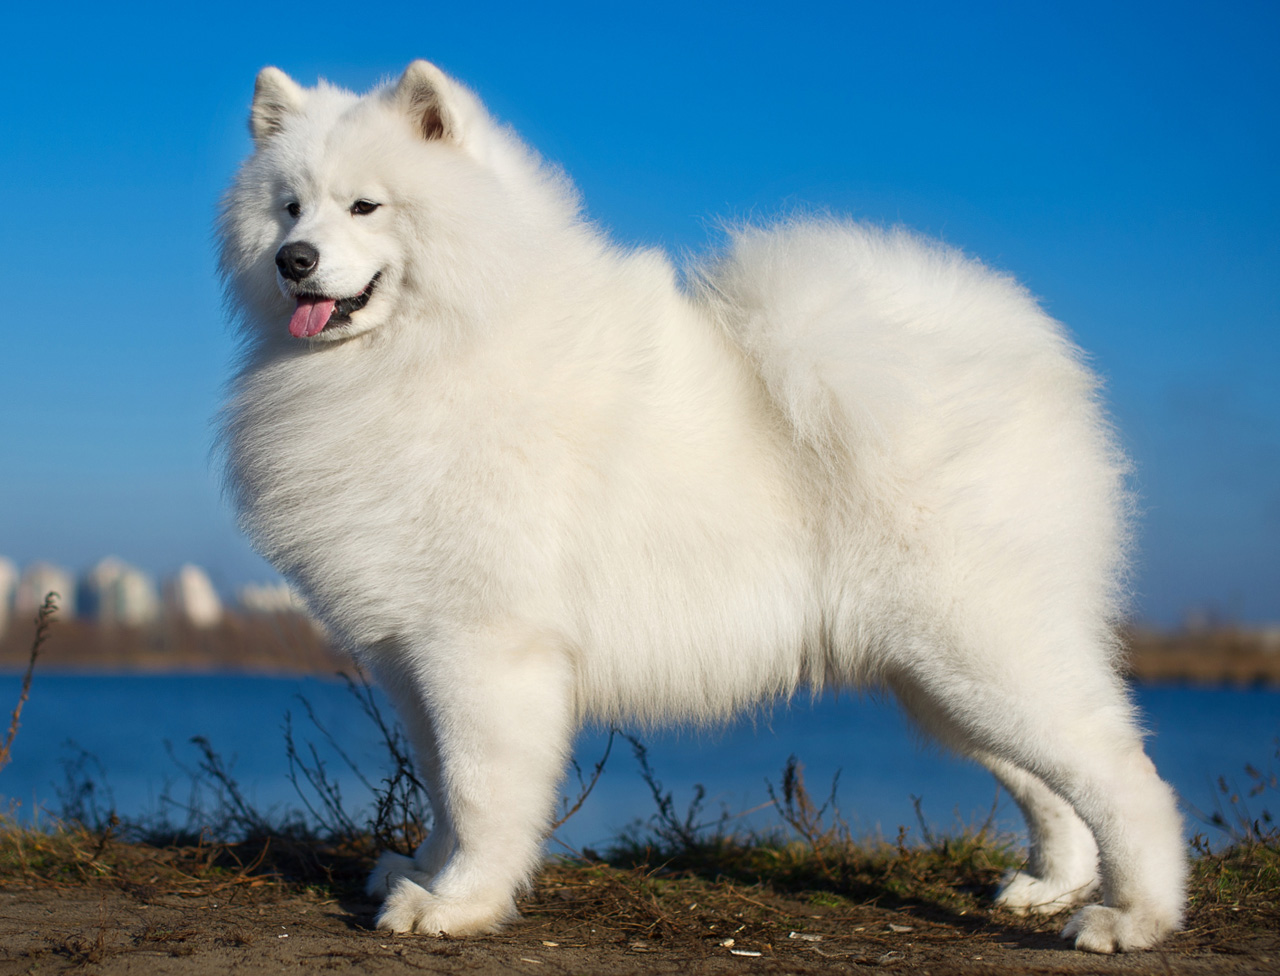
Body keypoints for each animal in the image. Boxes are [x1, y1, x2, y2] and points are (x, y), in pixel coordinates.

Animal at [215, 62, 1182, 952]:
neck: (437, 344)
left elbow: (480, 793)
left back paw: (1131, 917)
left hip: (980, 649)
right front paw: (420, 870)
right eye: (290, 208)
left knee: (1124, 773)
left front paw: (457, 904)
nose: (293, 262)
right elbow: (444, 790)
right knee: (1051, 787)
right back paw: (1048, 888)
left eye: (365, 207)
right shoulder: (414, 653)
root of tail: (1025, 355)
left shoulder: (483, 647)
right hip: (937, 677)